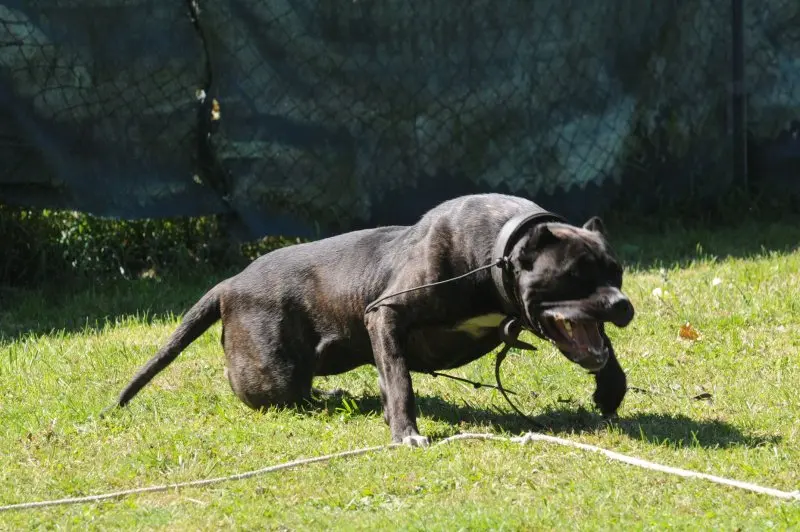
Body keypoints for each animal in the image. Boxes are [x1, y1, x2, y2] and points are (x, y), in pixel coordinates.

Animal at [114, 194, 636, 444]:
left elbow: (607, 354)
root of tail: (229, 283)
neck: (497, 252)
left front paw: (610, 390)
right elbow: (400, 381)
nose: (622, 305)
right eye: (573, 276)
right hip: (272, 374)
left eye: (616, 271)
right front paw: (406, 433)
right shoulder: (386, 314)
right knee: (276, 392)